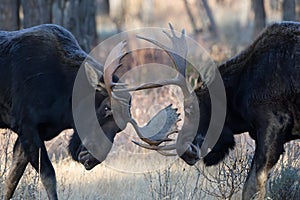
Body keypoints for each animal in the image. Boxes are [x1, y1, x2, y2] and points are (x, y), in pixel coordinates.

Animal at [0, 24, 178, 199]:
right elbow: (48, 175)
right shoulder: (26, 125)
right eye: (106, 108)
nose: (91, 158)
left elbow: (11, 180)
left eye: (120, 127)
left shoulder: (33, 133)